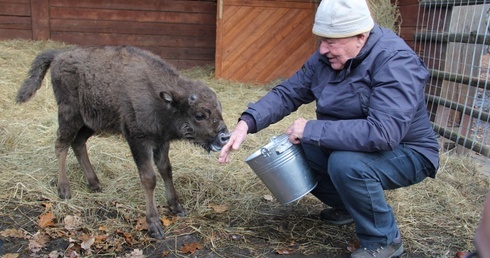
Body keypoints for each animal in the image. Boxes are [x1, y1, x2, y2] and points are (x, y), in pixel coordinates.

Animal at [15, 45, 230, 239]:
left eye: (219, 108)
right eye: (200, 114)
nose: (224, 136)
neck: (161, 98)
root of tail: (59, 55)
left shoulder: (161, 141)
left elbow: (166, 170)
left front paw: (176, 207)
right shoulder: (138, 141)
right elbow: (149, 178)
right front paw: (154, 225)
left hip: (90, 122)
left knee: (78, 143)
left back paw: (94, 184)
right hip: (70, 115)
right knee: (61, 145)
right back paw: (64, 189)